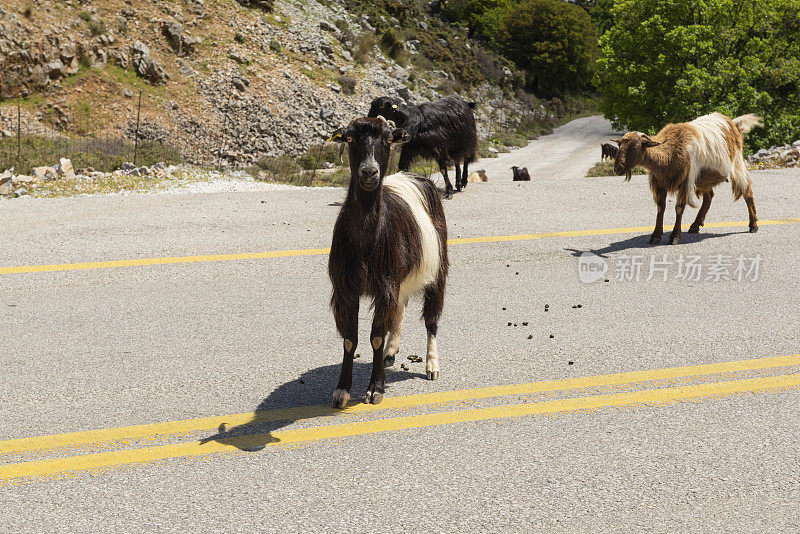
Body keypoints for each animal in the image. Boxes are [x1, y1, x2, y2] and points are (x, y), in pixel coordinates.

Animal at [326, 118, 450, 410]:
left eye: (386, 139)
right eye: (350, 139)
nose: (369, 172)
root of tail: (412, 175)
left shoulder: (385, 285)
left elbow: (375, 337)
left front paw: (375, 389)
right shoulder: (347, 289)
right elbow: (350, 340)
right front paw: (342, 390)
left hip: (438, 268)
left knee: (431, 320)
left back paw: (431, 365)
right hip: (400, 280)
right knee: (400, 309)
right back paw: (391, 352)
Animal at [612, 115, 764, 247]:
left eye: (635, 146)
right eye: (619, 145)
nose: (618, 168)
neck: (669, 154)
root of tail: (730, 121)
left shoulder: (685, 182)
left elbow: (679, 208)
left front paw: (674, 236)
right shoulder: (660, 183)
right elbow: (660, 208)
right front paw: (655, 235)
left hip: (737, 163)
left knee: (747, 191)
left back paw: (753, 225)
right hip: (704, 178)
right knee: (709, 197)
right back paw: (695, 225)